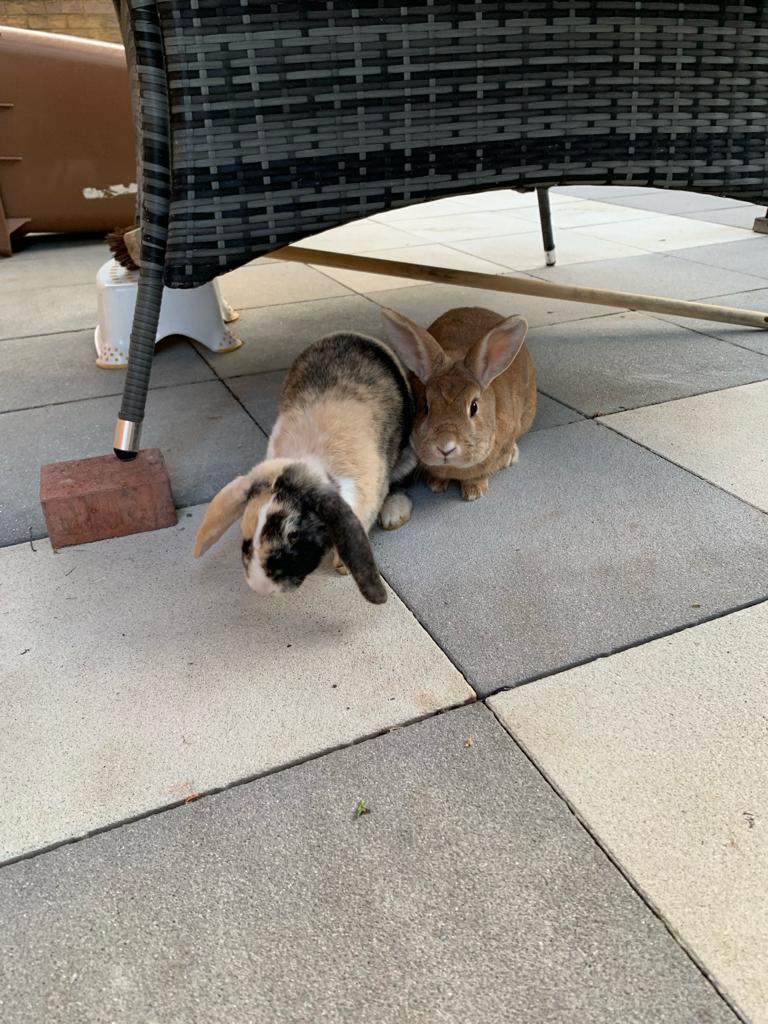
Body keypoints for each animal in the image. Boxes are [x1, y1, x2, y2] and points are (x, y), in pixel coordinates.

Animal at [193, 333, 416, 604]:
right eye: (245, 530)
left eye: (293, 535)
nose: (261, 588)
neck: (309, 459)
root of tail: (354, 335)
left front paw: (341, 565)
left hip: (408, 456)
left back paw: (394, 514)